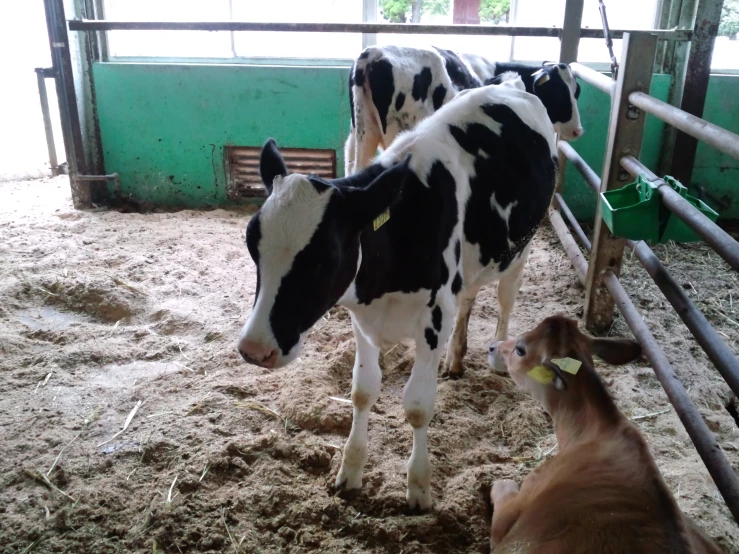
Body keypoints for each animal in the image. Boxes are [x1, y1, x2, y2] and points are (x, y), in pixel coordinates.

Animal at [237, 82, 556, 508]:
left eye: (324, 259)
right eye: (252, 245)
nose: (255, 349)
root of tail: (509, 85)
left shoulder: (434, 316)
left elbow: (418, 408)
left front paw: (418, 488)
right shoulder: (363, 318)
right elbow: (362, 391)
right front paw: (350, 471)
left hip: (520, 249)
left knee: (506, 302)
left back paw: (499, 356)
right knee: (469, 297)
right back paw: (456, 359)